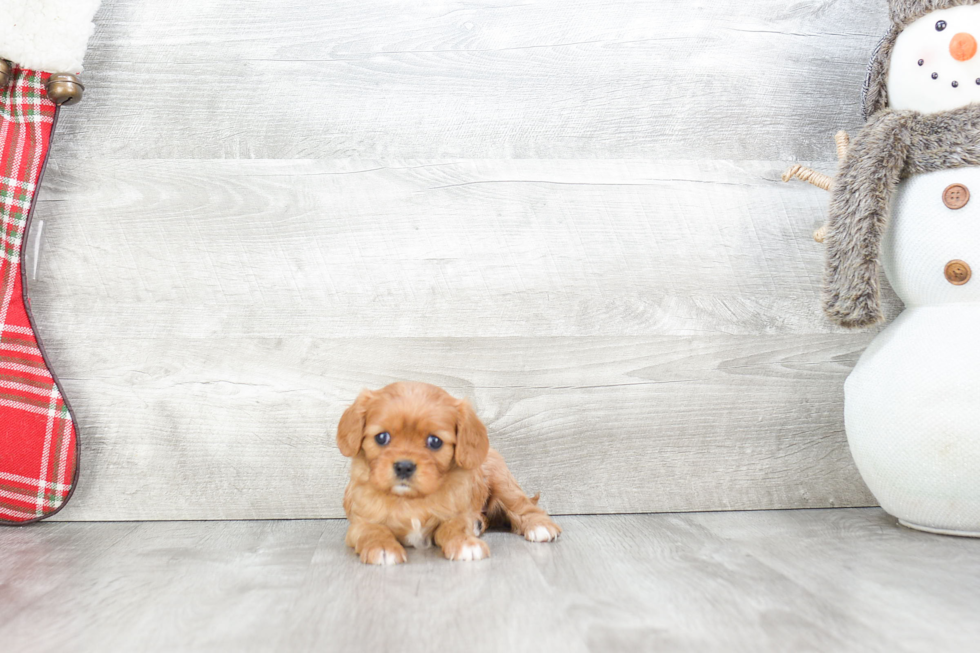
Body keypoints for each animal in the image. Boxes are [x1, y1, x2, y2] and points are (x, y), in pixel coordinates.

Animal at [340, 382, 564, 564]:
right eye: (381, 437)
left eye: (435, 441)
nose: (404, 466)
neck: (411, 500)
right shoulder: (360, 522)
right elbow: (373, 530)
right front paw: (382, 547)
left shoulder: (457, 514)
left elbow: (453, 527)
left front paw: (465, 543)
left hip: (503, 481)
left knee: (524, 507)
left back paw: (539, 526)